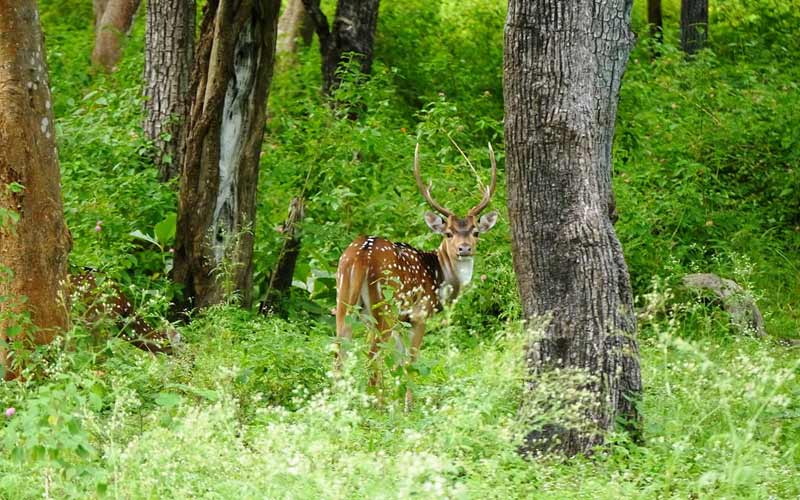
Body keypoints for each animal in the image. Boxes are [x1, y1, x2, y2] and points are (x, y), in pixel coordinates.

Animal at [334, 142, 496, 406]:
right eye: (448, 233)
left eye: (475, 232)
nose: (464, 248)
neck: (441, 279)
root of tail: (360, 255)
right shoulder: (420, 314)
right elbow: (411, 360)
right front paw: (409, 404)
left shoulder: (403, 319)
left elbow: (400, 361)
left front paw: (400, 400)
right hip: (384, 304)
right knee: (372, 354)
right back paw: (375, 404)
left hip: (344, 299)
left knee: (340, 351)